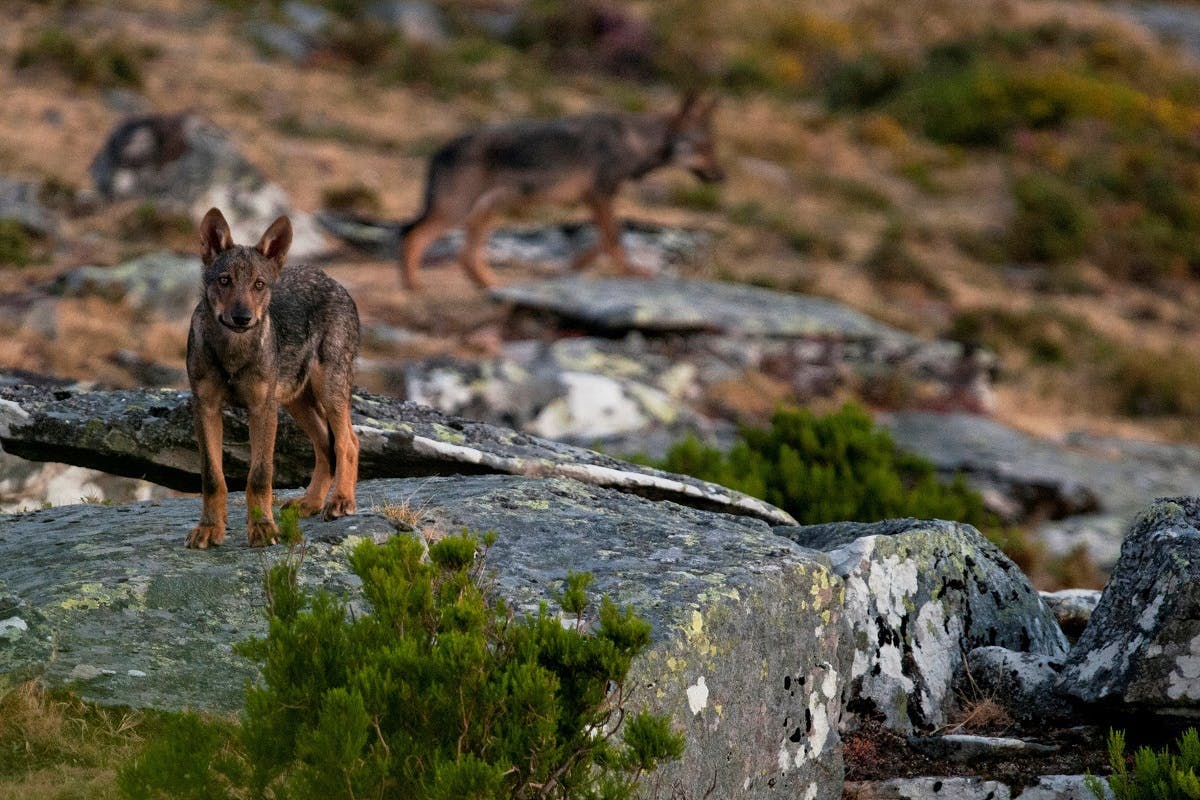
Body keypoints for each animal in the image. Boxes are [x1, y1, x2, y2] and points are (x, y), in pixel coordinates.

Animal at [182, 206, 360, 551]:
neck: (233, 353)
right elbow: (212, 476)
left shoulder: (262, 409)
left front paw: (263, 528)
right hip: (295, 402)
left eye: (259, 284)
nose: (242, 318)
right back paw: (310, 503)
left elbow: (259, 475)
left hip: (328, 391)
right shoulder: (205, 408)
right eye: (225, 280)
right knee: (325, 445)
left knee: (348, 441)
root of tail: (333, 281)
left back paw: (341, 501)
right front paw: (210, 528)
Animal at [400, 91, 720, 291]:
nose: (722, 176)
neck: (633, 140)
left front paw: (570, 268)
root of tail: (438, 151)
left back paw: (495, 287)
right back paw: (413, 286)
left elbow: (603, 241)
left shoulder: (594, 199)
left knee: (465, 258)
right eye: (704, 148)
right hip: (456, 213)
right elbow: (614, 237)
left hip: (486, 213)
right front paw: (631, 273)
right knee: (413, 236)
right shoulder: (600, 195)